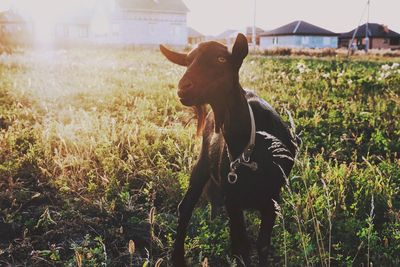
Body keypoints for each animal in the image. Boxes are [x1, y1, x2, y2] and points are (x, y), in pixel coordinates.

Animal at [159, 34, 296, 267]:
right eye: (188, 61)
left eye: (221, 59)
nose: (184, 87)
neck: (249, 149)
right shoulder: (233, 200)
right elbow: (243, 246)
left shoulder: (271, 200)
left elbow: (262, 246)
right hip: (203, 163)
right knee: (185, 207)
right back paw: (177, 258)